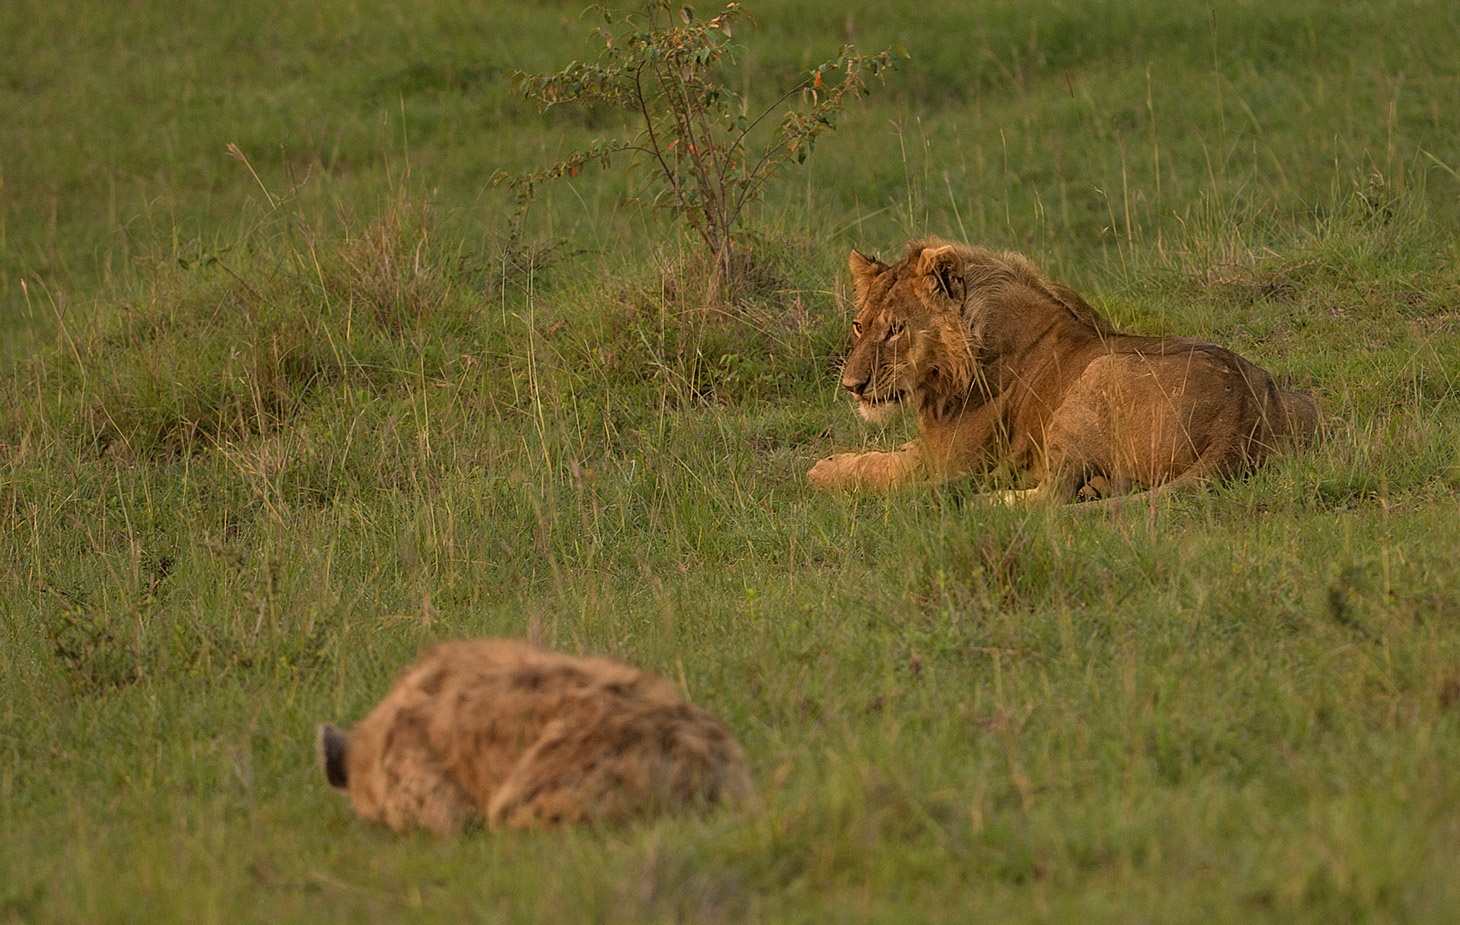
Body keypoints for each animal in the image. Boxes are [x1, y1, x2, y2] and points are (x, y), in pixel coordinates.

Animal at [811, 233, 1325, 501]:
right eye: (859, 326)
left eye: (896, 330)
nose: (851, 386)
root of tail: (1240, 421)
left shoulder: (941, 458)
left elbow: (880, 469)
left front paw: (822, 470)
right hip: (1303, 406)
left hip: (1094, 379)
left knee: (1050, 497)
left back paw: (986, 500)